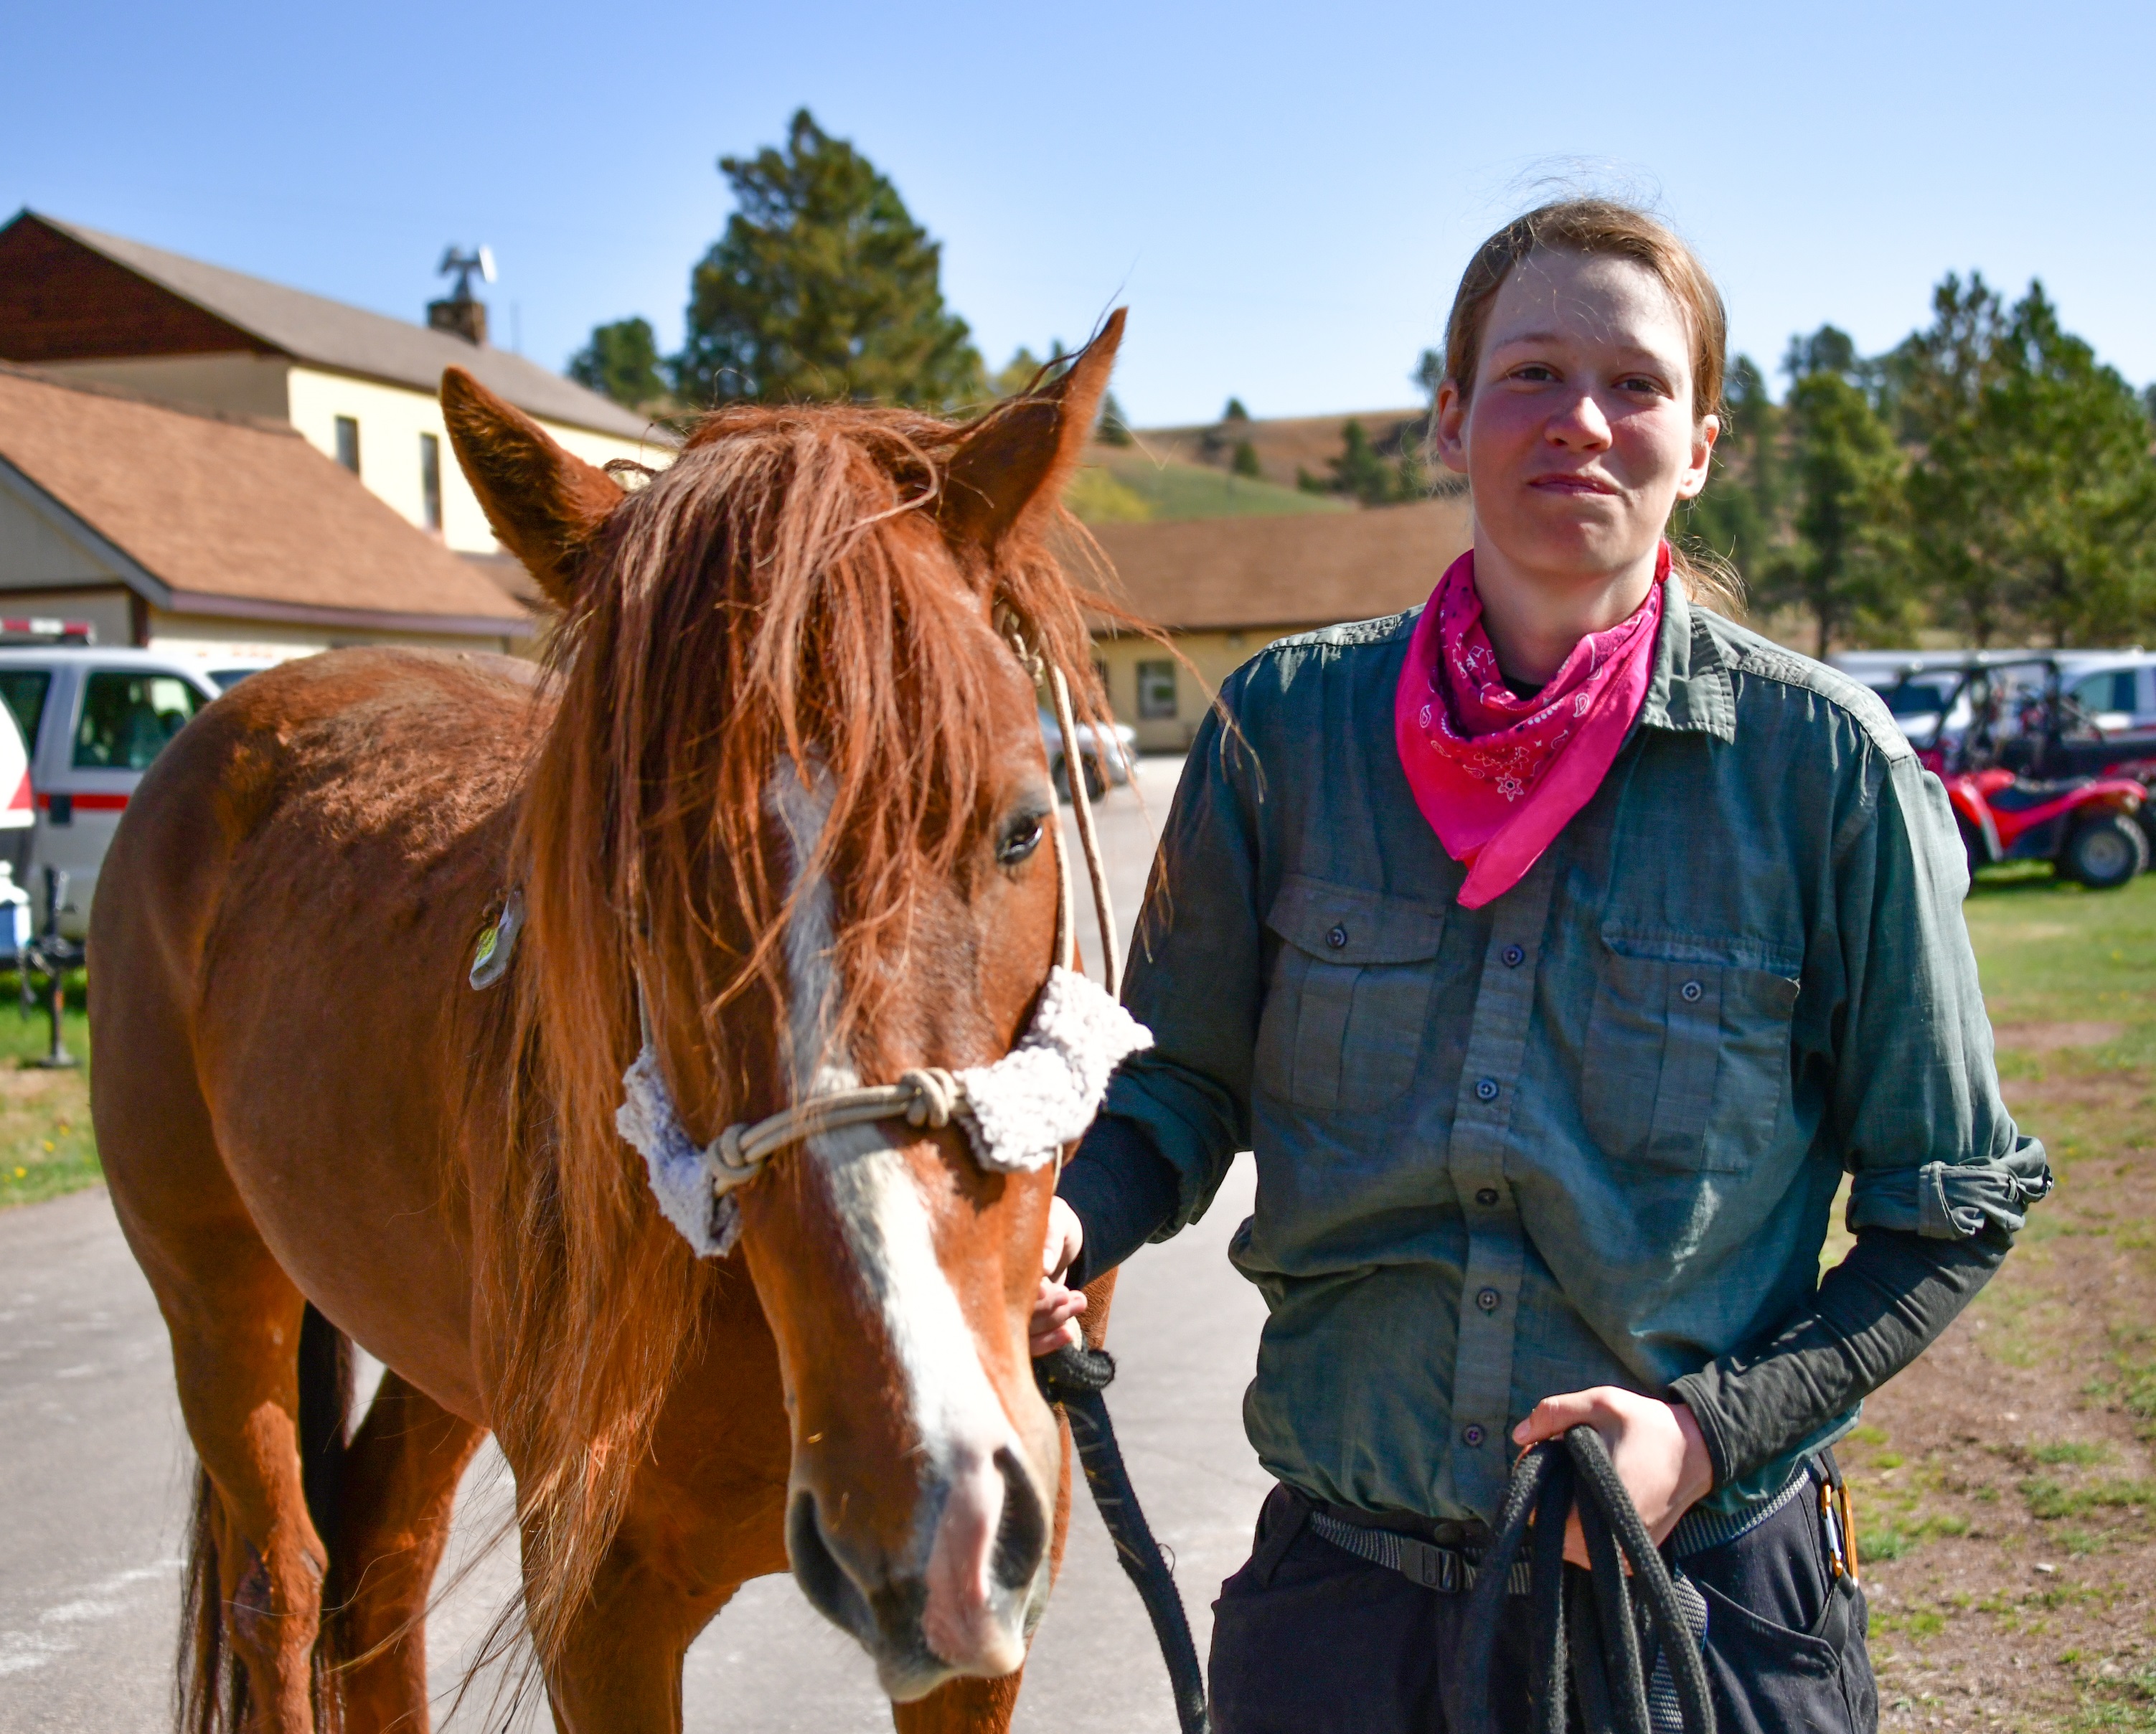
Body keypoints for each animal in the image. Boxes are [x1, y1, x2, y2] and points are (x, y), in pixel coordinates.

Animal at [88, 319, 1129, 1725]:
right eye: (629, 889)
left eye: (1021, 826)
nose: (923, 1504)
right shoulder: (600, 1613)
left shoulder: (994, 1611)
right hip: (212, 1291)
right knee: (284, 1582)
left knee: (380, 1551)